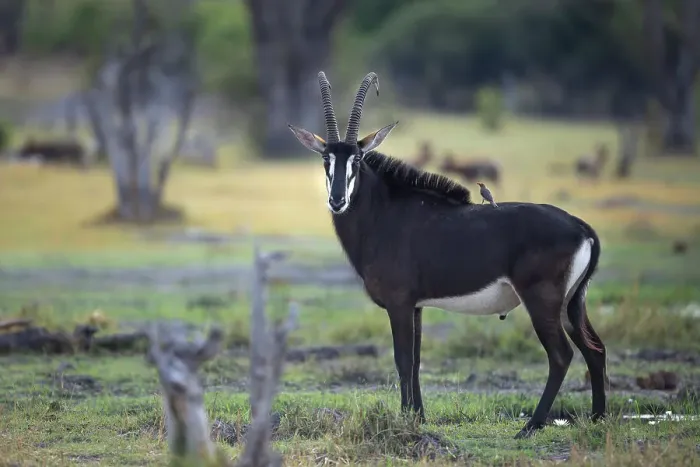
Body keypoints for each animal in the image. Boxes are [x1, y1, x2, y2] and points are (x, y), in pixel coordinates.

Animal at [288, 71, 607, 439]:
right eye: (326, 159)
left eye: (357, 159)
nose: (337, 200)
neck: (384, 212)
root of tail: (582, 228)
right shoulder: (416, 306)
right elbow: (415, 360)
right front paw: (417, 416)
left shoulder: (398, 303)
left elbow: (402, 359)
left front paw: (405, 419)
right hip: (573, 304)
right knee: (595, 349)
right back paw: (598, 418)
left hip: (543, 301)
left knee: (561, 355)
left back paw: (531, 426)